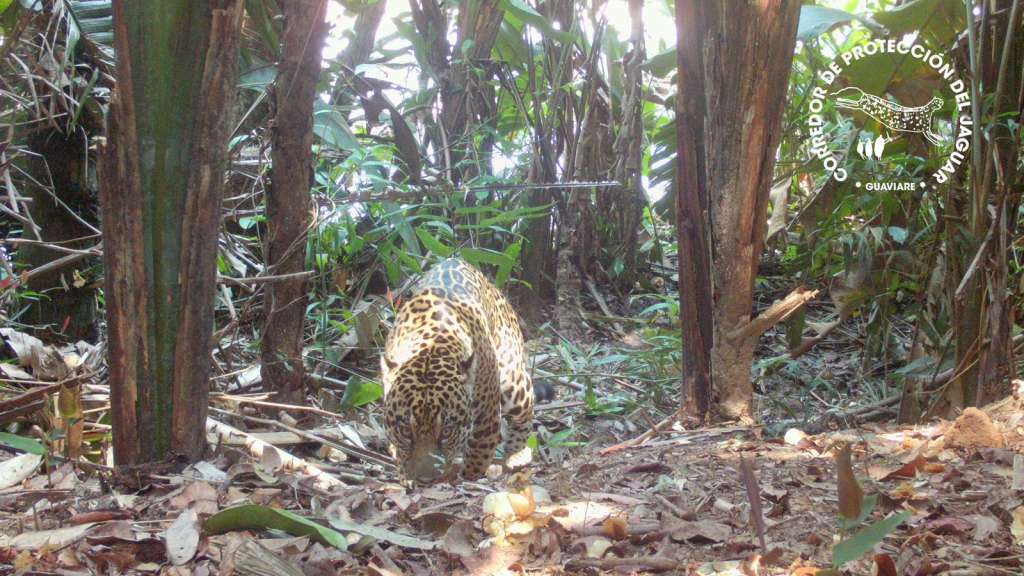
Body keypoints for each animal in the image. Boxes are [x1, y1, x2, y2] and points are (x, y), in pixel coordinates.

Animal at [380, 257, 534, 484]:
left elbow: (477, 456)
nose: (425, 480)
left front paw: (465, 478)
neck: (431, 345)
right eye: (406, 430)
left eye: (446, 431)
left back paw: (516, 455)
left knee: (526, 410)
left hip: (513, 382)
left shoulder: (486, 419)